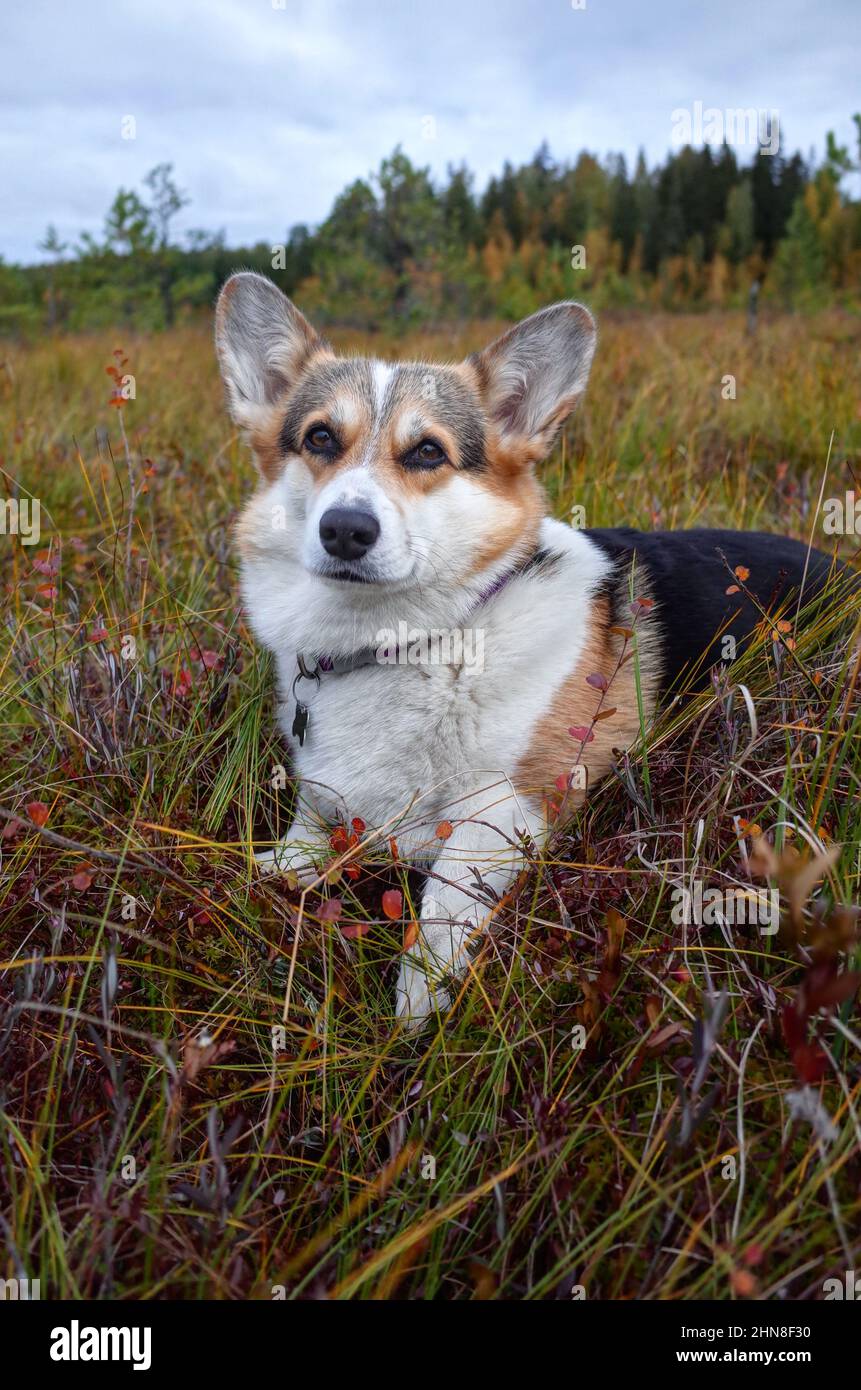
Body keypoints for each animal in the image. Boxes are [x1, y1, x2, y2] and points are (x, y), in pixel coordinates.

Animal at [215, 276, 840, 1028]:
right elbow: (290, 850)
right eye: (319, 438)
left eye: (427, 452)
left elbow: (438, 922)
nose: (345, 530)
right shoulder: (323, 804)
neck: (410, 640)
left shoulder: (505, 813)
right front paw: (260, 878)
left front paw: (414, 1026)